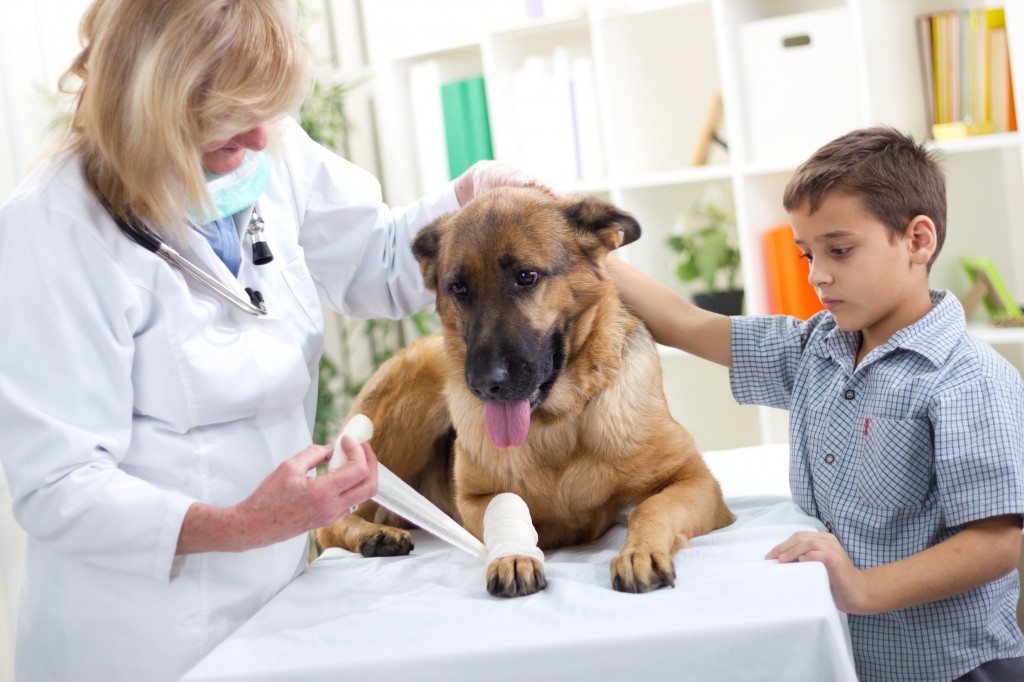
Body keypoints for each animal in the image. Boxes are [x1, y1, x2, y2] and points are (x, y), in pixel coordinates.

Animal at [315, 187, 733, 593]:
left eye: (526, 276)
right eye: (458, 288)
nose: (486, 385)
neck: (557, 424)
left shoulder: (696, 480)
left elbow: (650, 508)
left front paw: (639, 552)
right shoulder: (475, 500)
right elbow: (512, 509)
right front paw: (514, 556)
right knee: (328, 522)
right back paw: (375, 535)